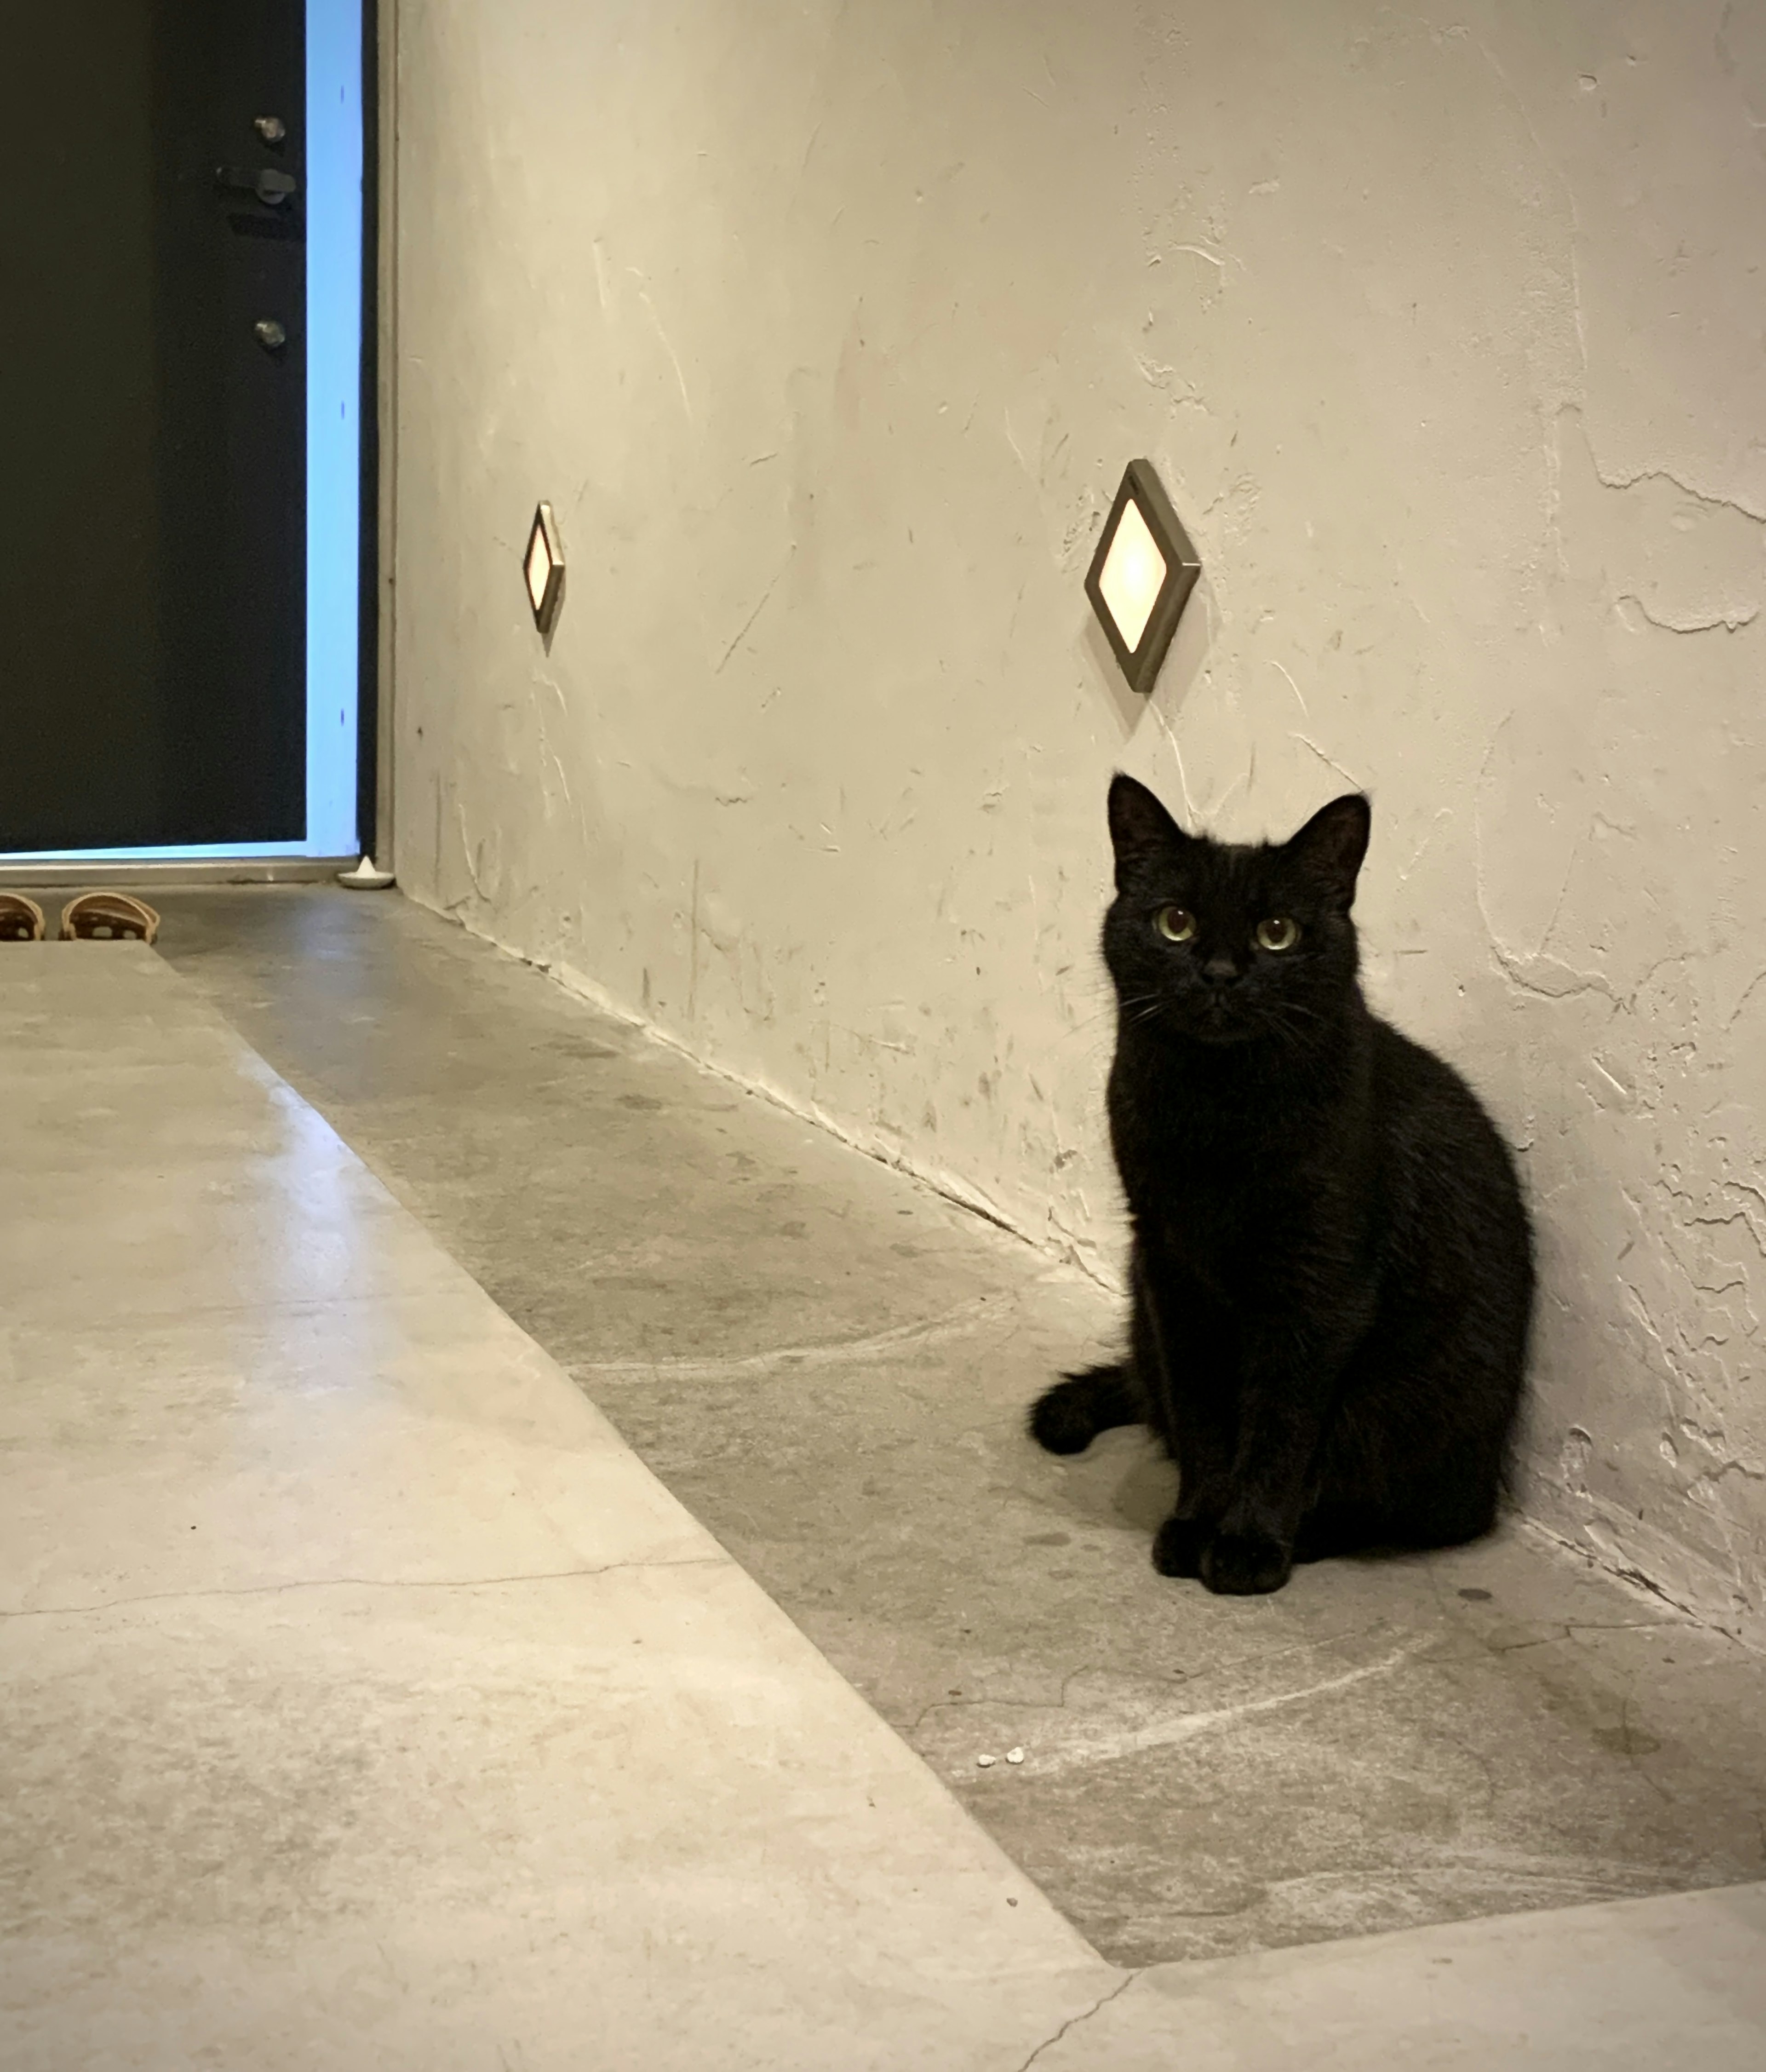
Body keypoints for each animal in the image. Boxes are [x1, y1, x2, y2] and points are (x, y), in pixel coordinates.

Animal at [1036, 779, 1534, 1599]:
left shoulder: (1317, 1285)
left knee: (1415, 1511)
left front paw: (1247, 1543)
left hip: (1416, 1409)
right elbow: (1205, 1416)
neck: (1217, 1111)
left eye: (1278, 933)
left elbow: (1280, 1425)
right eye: (1175, 923)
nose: (1219, 973)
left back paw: (1312, 1533)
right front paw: (1196, 1524)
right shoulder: (1173, 1275)